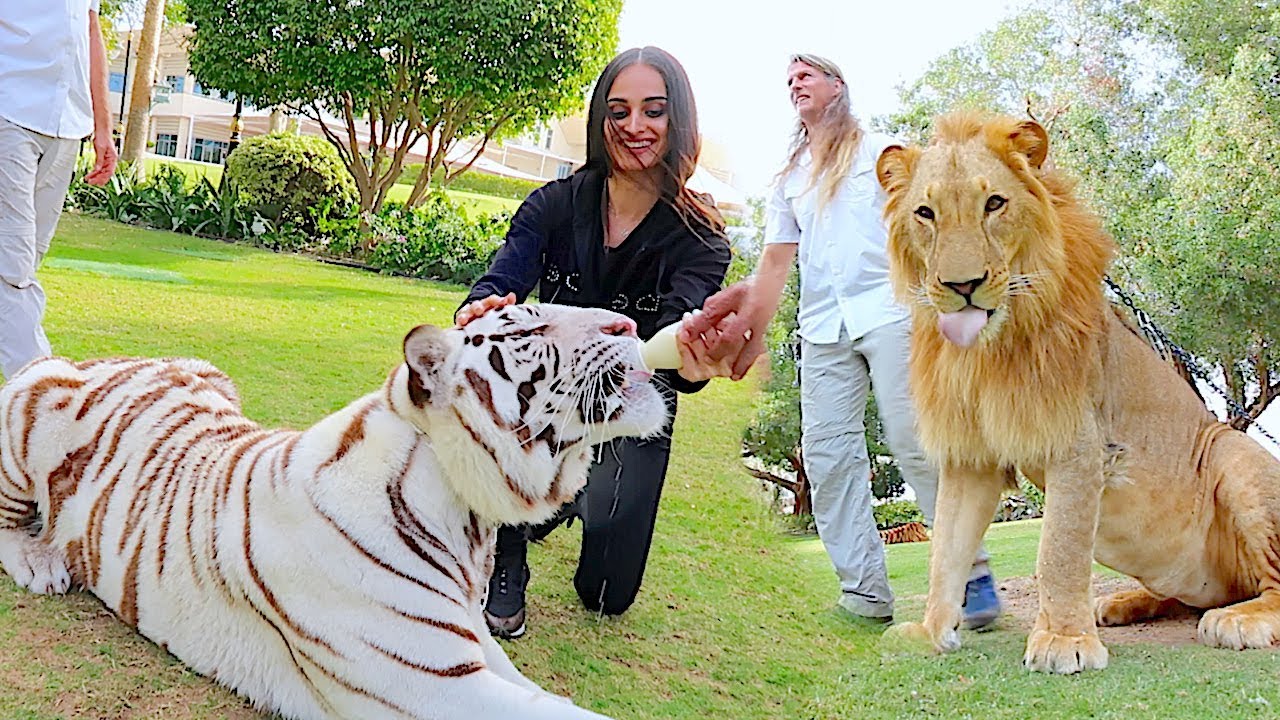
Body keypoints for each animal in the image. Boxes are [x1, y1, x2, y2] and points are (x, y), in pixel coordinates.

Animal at [0, 303, 660, 717]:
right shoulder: (434, 683)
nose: (630, 323)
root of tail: (110, 359)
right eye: (530, 327)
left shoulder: (475, 645)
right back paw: (40, 563)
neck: (463, 512)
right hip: (30, 402)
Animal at [875, 109, 1280, 671]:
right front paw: (930, 632)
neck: (987, 352)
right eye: (925, 213)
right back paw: (1124, 603)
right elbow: (946, 551)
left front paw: (1063, 640)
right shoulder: (969, 458)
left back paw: (1240, 619)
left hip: (1231, 450)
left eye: (994, 204)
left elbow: (1058, 550)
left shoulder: (1078, 444)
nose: (962, 286)